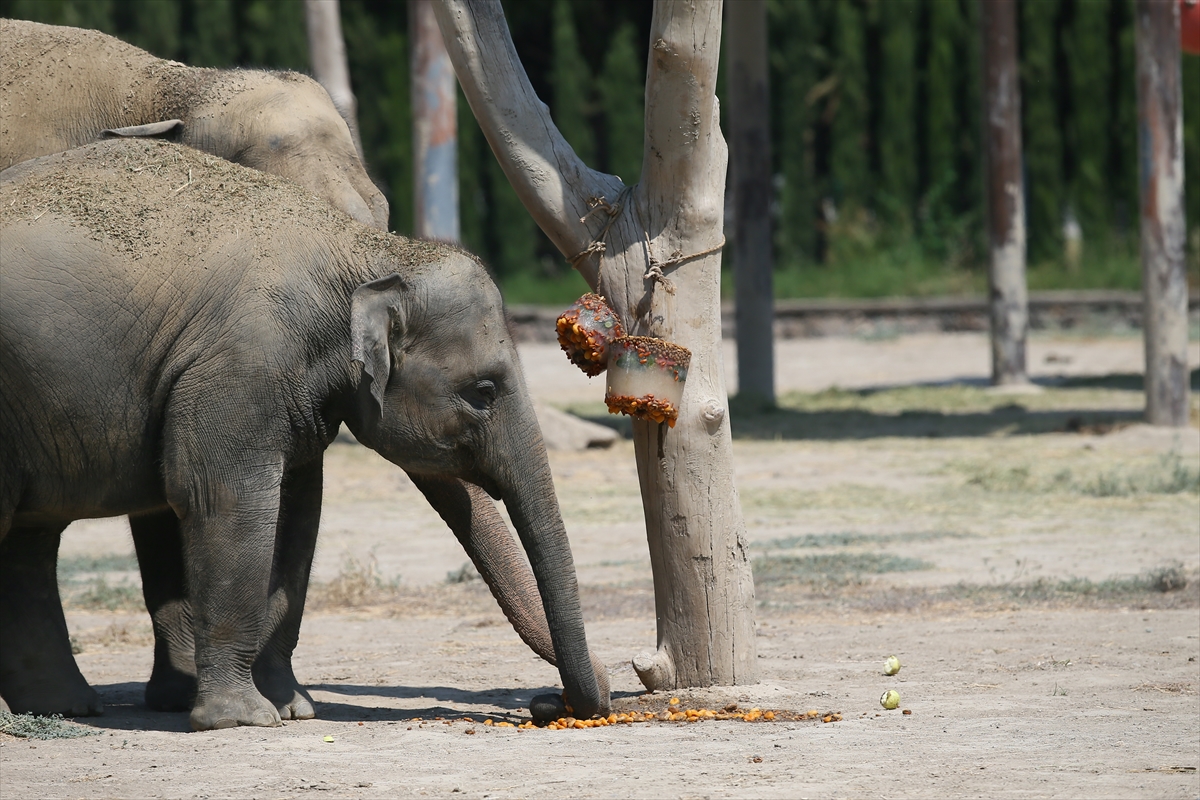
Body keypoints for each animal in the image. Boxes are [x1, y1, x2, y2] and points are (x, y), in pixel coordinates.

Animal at [0, 18, 604, 719]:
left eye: (382, 214)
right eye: (481, 390)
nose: (544, 702)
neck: (171, 86)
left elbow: (295, 502)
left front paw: (287, 706)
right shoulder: (219, 354)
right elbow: (200, 491)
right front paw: (227, 711)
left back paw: (63, 706)